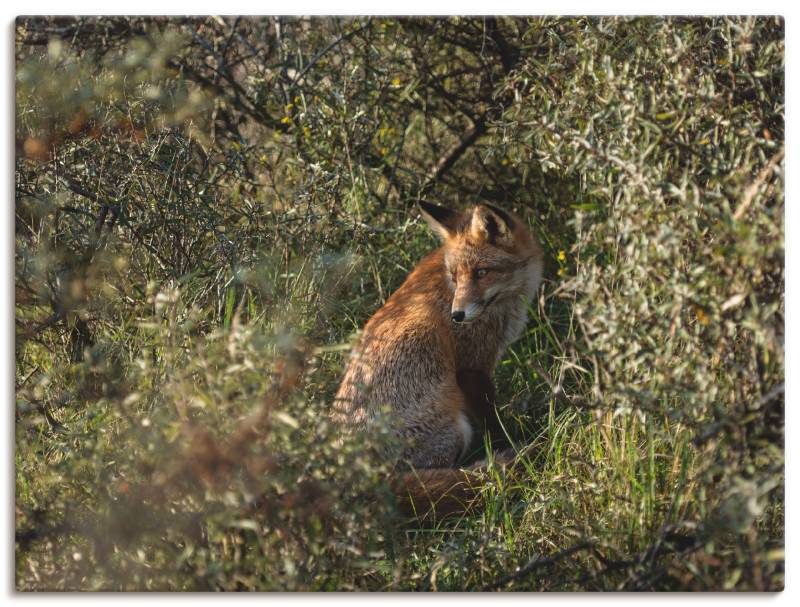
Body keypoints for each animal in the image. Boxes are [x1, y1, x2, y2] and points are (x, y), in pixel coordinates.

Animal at [332, 202, 544, 516]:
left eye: (481, 272)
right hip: (457, 429)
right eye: (455, 277)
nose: (457, 316)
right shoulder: (472, 366)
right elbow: (493, 422)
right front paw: (505, 442)